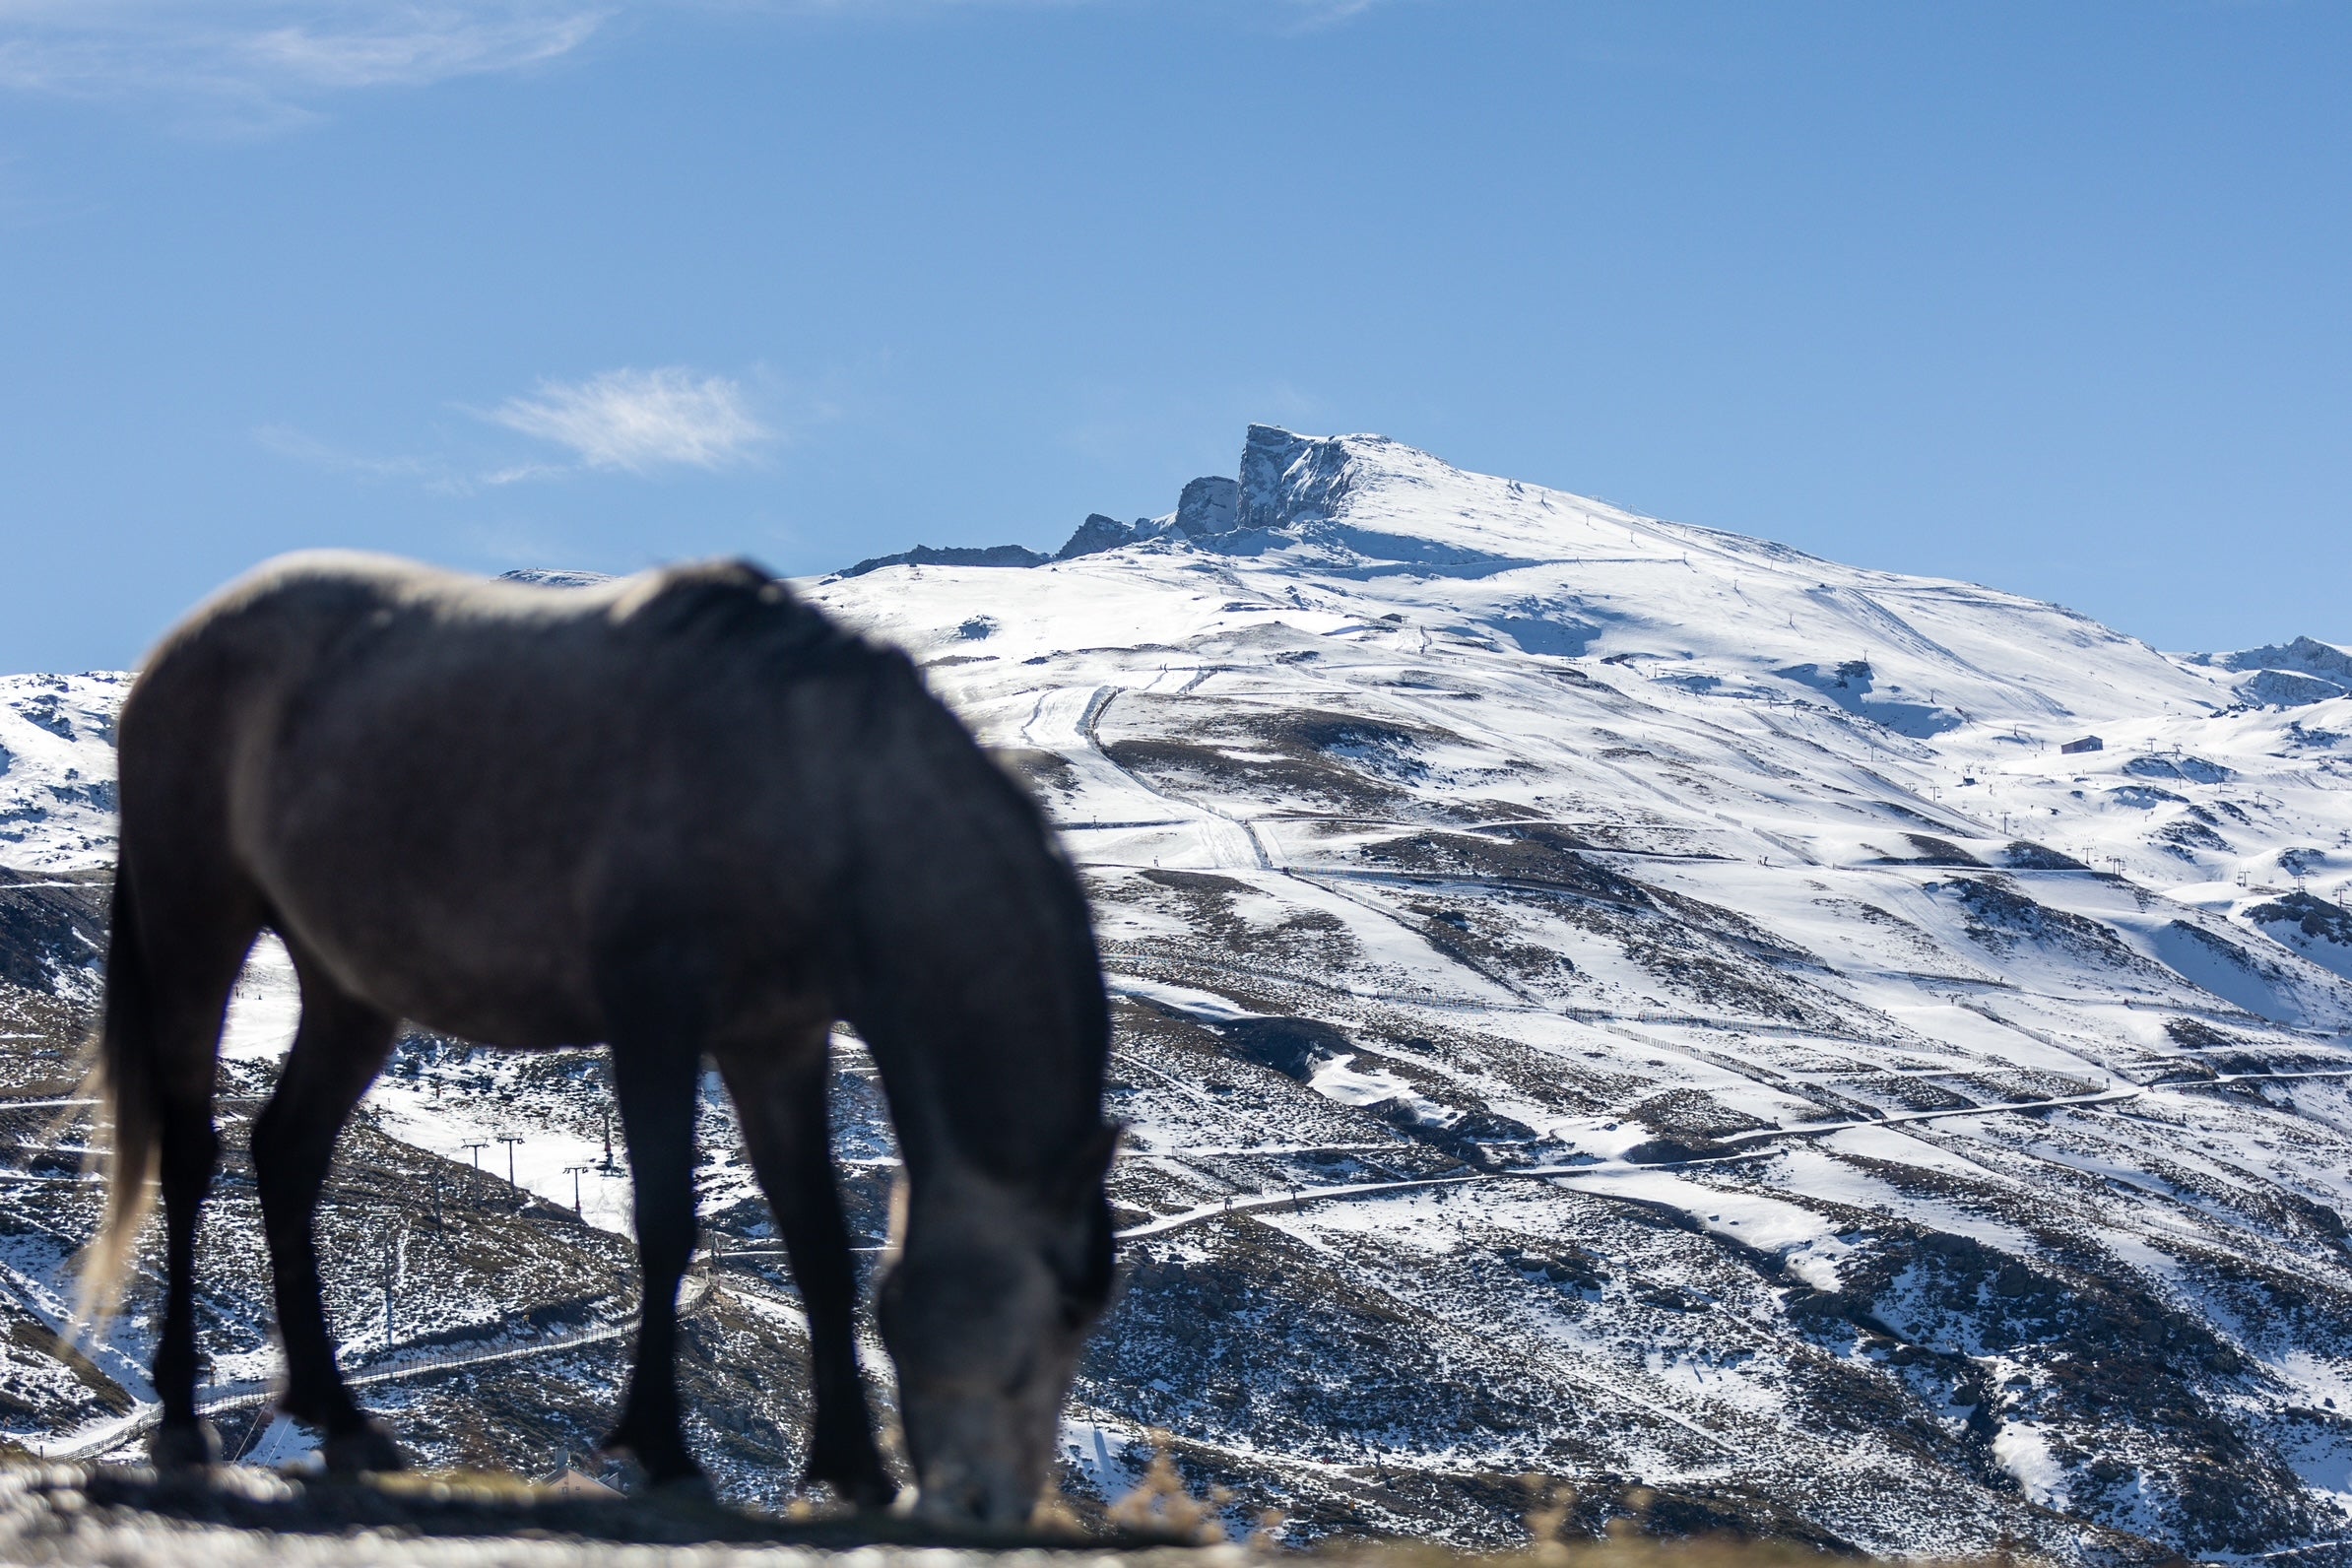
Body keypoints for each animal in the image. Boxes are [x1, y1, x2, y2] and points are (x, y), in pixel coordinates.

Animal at [85, 552, 1119, 1523]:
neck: (811, 782)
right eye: (1065, 1304)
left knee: (287, 1153)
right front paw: (663, 1452)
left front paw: (854, 1470)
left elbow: (818, 1239)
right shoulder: (654, 1019)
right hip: (196, 927)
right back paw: (181, 1424)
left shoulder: (777, 1042)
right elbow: (664, 1224)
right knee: (190, 1152)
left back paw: (344, 1425)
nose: (994, 1506)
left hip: (348, 990)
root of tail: (173, 654)